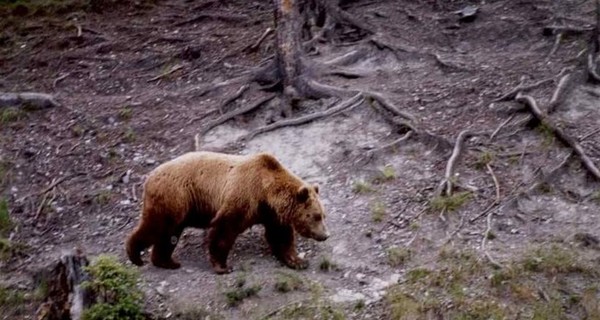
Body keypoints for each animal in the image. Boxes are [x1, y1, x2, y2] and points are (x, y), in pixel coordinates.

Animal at [125, 151, 328, 274]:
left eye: (323, 215)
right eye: (316, 216)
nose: (325, 235)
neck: (266, 192)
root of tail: (149, 178)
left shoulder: (271, 214)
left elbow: (280, 236)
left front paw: (297, 261)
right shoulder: (243, 196)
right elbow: (224, 230)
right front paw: (223, 266)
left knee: (168, 235)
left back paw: (166, 261)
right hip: (174, 197)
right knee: (156, 227)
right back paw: (135, 256)